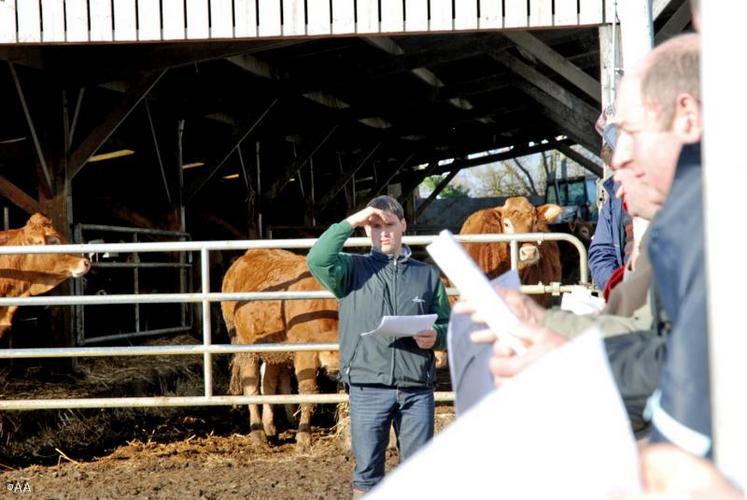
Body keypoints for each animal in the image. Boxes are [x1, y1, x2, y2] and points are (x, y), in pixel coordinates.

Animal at [222, 248, 338, 448]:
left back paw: (270, 428)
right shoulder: (305, 353)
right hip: (245, 345)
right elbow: (308, 391)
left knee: (268, 383)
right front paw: (303, 437)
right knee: (251, 385)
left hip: (274, 351)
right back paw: (258, 434)